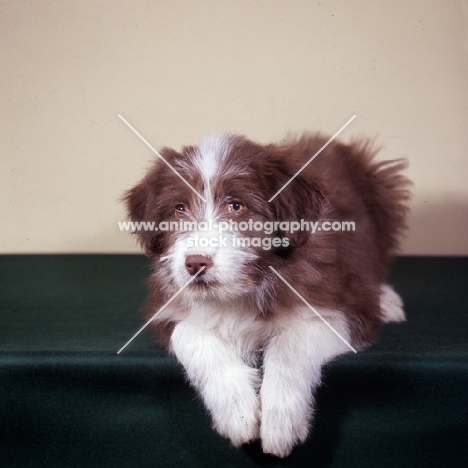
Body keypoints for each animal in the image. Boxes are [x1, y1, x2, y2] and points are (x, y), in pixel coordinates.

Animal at [124, 133, 410, 458]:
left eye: (236, 206)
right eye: (179, 209)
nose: (195, 263)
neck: (243, 288)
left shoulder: (344, 303)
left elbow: (291, 343)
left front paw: (281, 419)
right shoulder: (165, 308)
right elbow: (189, 334)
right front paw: (237, 409)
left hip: (381, 194)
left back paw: (387, 300)